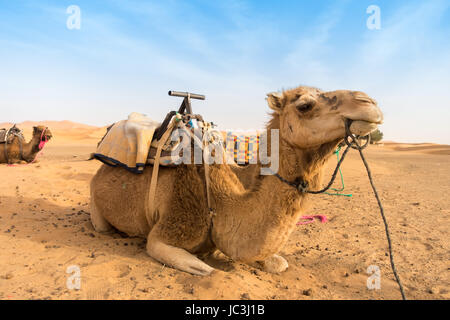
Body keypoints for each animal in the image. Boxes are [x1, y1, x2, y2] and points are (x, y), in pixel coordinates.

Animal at [89, 85, 384, 276]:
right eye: (304, 105)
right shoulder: (170, 228)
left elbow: (279, 263)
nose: (369, 103)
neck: (219, 204)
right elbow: (203, 269)